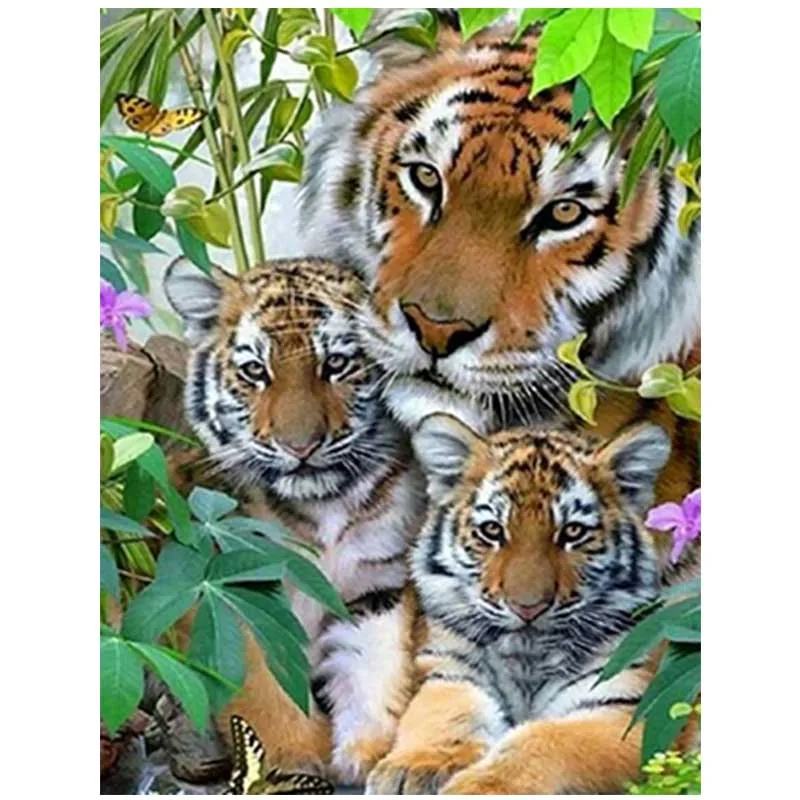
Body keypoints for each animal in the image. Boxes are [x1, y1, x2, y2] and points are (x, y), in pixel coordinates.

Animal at [164, 257, 427, 785]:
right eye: (255, 371)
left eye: (337, 364)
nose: (301, 446)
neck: (323, 505)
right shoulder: (238, 593)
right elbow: (264, 688)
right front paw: (295, 761)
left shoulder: (376, 587)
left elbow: (374, 667)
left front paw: (366, 753)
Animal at [366, 413, 693, 795]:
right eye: (492, 530)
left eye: (572, 533)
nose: (528, 608)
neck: (527, 657)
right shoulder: (453, 672)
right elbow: (446, 715)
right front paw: (415, 767)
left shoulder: (623, 709)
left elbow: (543, 740)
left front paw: (480, 787)